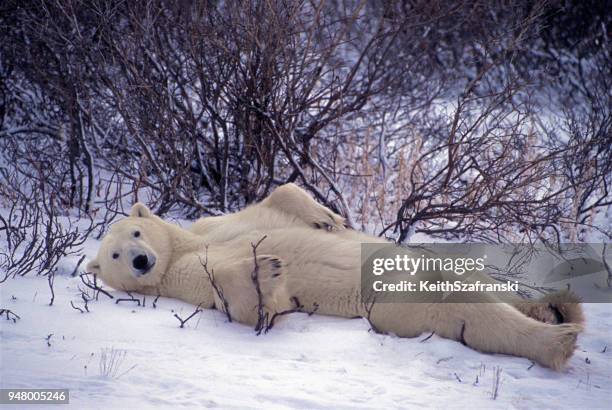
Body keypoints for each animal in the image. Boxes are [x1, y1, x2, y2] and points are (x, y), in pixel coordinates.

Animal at [87, 184, 584, 370]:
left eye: (136, 232)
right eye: (114, 254)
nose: (140, 261)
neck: (183, 250)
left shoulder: (213, 227)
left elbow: (273, 204)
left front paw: (326, 217)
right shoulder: (187, 280)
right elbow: (246, 301)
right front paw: (268, 268)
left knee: (490, 287)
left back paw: (558, 306)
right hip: (398, 301)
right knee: (465, 308)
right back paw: (559, 339)